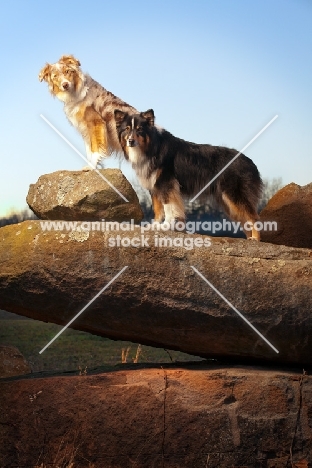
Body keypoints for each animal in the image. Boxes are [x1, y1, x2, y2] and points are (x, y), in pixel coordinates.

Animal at [113, 109, 262, 238]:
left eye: (139, 129)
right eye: (127, 129)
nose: (130, 141)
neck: (152, 147)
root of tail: (250, 162)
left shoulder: (166, 183)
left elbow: (168, 206)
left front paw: (166, 225)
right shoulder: (154, 185)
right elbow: (157, 208)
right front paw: (155, 225)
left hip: (235, 194)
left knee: (253, 217)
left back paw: (255, 239)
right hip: (227, 201)